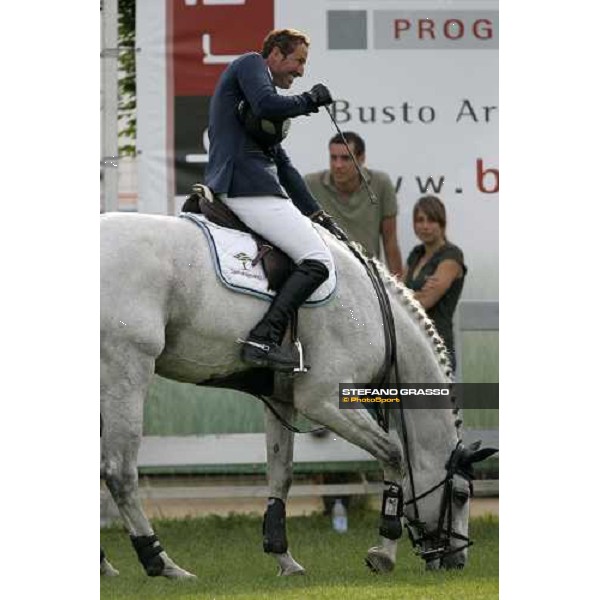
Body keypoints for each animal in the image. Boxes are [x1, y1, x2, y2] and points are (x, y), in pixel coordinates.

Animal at [101, 213, 496, 580]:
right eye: (461, 495)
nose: (456, 561)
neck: (375, 313)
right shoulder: (324, 399)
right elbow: (393, 454)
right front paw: (383, 552)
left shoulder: (282, 400)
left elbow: (281, 474)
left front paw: (284, 559)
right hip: (126, 368)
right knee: (119, 471)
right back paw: (162, 564)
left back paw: (106, 566)